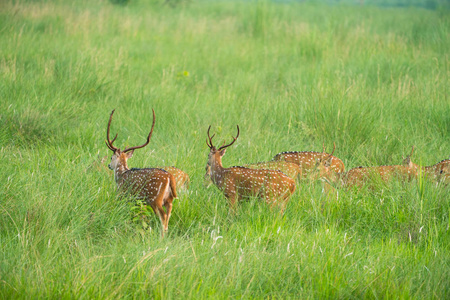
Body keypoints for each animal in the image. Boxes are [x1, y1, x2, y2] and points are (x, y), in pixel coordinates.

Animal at [104, 109, 177, 237]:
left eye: (111, 157)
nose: (109, 165)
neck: (120, 175)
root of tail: (169, 177)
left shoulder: (122, 194)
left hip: (155, 198)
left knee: (163, 216)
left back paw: (161, 238)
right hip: (169, 199)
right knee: (168, 216)